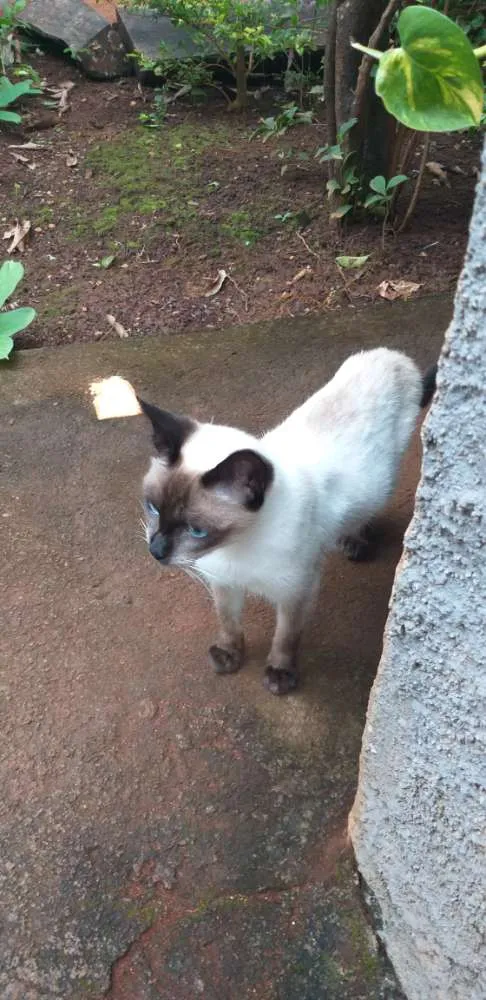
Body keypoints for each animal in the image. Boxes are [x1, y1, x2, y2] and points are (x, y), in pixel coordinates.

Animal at [138, 348, 436, 692]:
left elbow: (286, 638)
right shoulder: (223, 581)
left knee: (367, 510)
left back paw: (354, 541)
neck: (237, 547)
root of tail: (394, 357)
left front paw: (279, 675)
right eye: (153, 507)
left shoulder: (296, 592)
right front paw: (229, 655)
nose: (155, 551)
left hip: (383, 480)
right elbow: (228, 623)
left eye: (196, 530)